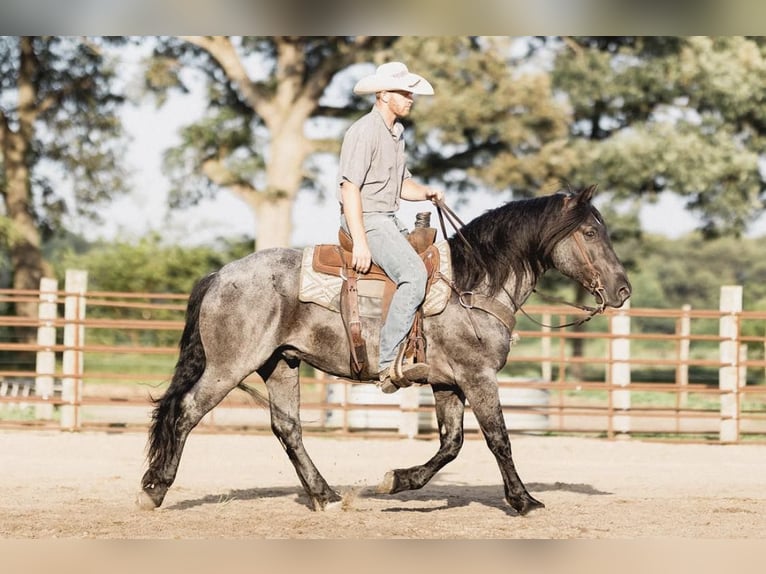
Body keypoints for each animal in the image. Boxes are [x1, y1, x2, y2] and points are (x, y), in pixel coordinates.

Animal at [136, 186, 632, 516]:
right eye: (591, 232)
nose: (623, 290)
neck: (472, 285)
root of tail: (220, 275)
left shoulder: (448, 383)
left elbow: (451, 444)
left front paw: (397, 481)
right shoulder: (477, 377)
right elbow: (499, 439)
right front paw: (524, 500)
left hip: (281, 364)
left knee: (287, 428)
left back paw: (324, 496)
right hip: (229, 367)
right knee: (185, 413)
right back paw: (155, 490)